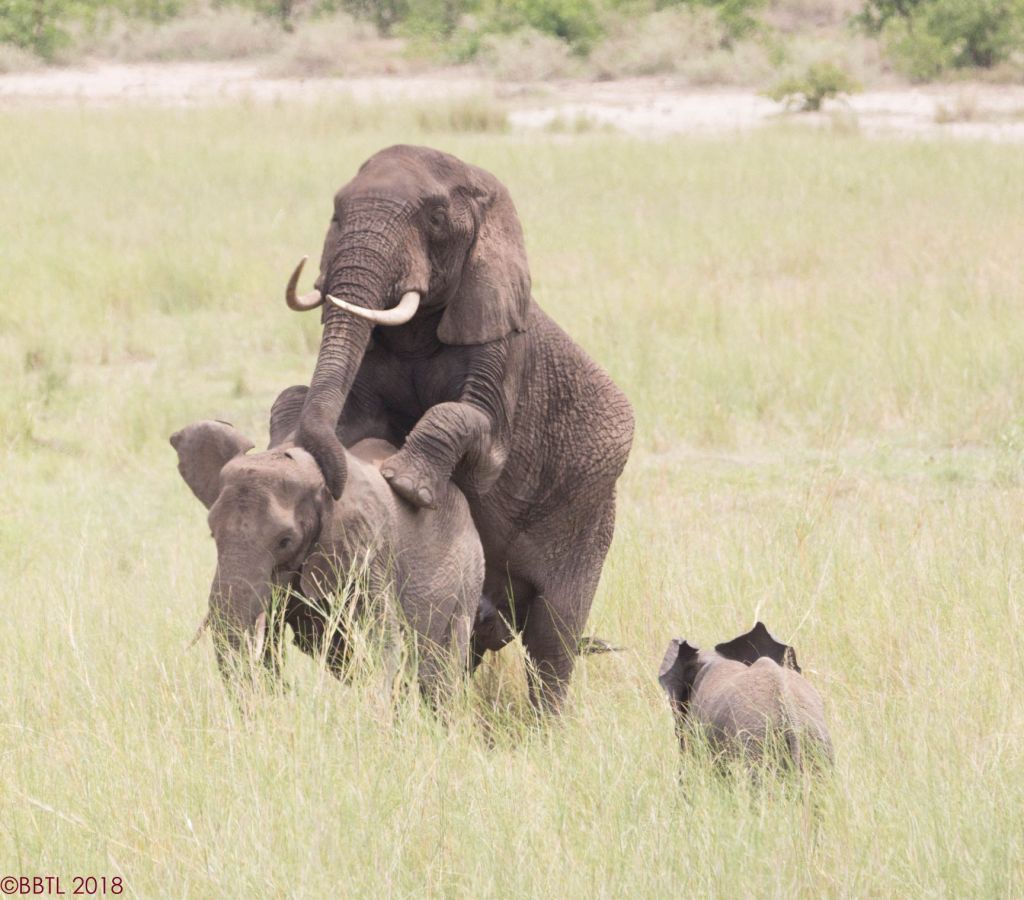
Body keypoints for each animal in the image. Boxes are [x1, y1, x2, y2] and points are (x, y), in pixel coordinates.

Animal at [170, 386, 484, 703]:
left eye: (285, 541)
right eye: (213, 534)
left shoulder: (368, 555)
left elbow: (382, 638)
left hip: (469, 578)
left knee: (442, 671)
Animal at [282, 144, 635, 711]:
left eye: (436, 219)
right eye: (336, 212)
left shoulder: (501, 347)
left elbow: (477, 435)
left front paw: (404, 483)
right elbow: (342, 416)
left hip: (590, 515)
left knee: (552, 639)